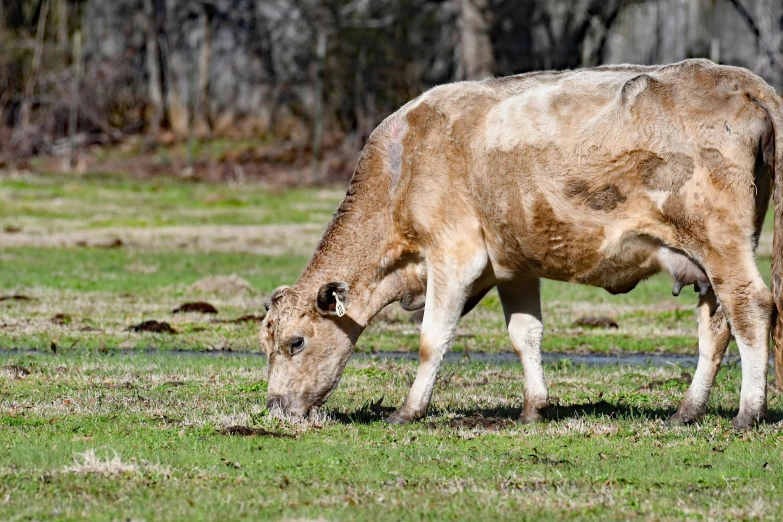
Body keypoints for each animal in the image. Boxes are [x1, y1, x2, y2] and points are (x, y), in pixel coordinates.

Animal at [260, 59, 783, 428]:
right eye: (266, 344)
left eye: (295, 341)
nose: (275, 406)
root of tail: (743, 80)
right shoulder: (512, 265)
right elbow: (525, 335)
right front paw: (533, 407)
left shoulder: (454, 255)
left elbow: (432, 339)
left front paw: (408, 410)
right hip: (705, 259)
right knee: (716, 325)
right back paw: (687, 410)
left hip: (721, 242)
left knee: (752, 308)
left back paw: (747, 413)